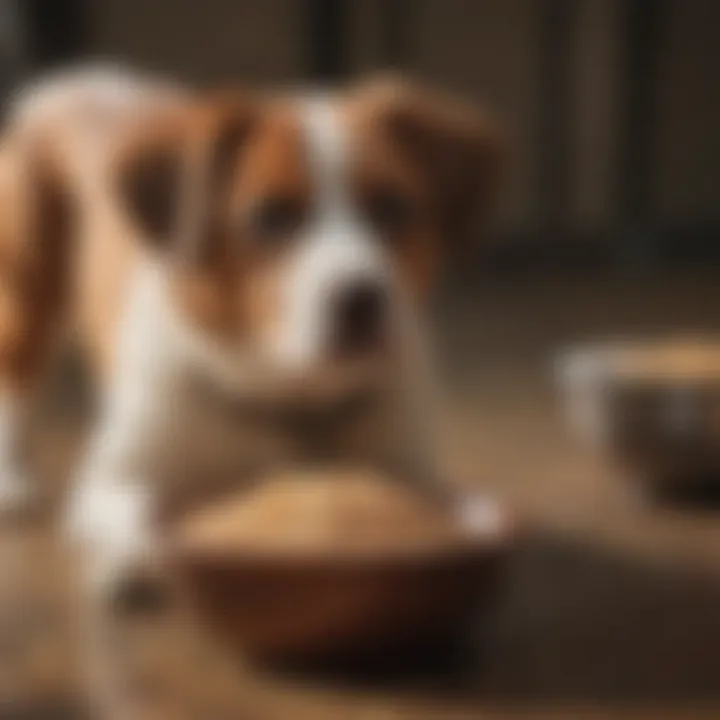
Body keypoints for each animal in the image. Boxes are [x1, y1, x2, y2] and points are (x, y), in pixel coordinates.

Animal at [0, 64, 506, 600]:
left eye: (391, 207)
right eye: (272, 216)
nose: (361, 300)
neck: (283, 398)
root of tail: (74, 79)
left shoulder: (406, 470)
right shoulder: (114, 479)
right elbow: (144, 517)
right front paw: (130, 563)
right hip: (28, 298)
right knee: (15, 385)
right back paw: (12, 480)